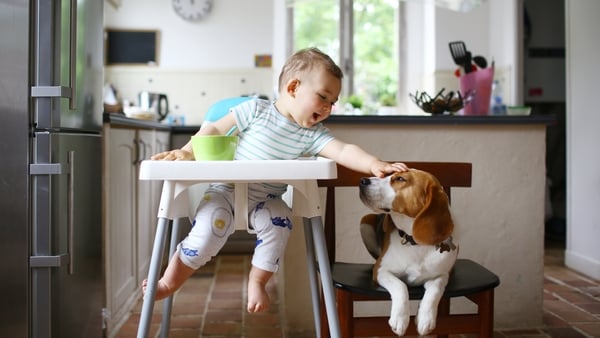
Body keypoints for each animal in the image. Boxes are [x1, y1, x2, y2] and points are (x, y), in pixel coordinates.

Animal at [356, 169, 460, 336]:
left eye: (400, 179)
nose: (362, 180)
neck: (415, 243)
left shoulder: (442, 275)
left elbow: (435, 291)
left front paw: (426, 318)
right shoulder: (381, 270)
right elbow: (400, 286)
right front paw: (400, 318)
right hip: (365, 222)